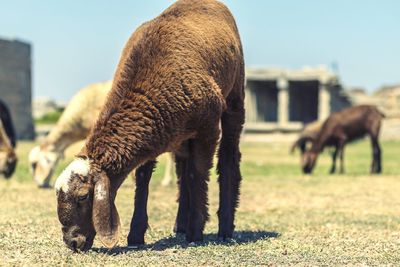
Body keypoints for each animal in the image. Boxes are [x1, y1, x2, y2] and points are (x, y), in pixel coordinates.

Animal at [55, 0, 245, 252]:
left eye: (84, 196)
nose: (72, 243)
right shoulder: (153, 130)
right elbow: (144, 178)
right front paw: (136, 234)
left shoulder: (208, 127)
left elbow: (198, 174)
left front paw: (196, 231)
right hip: (182, 135)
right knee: (182, 169)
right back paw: (180, 224)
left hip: (234, 95)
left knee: (228, 158)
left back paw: (224, 227)